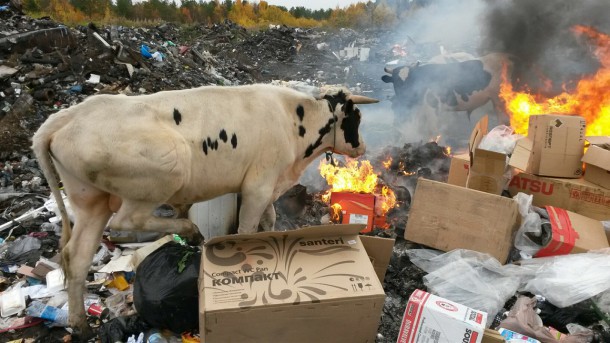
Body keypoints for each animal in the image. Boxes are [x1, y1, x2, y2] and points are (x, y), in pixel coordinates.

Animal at [33, 84, 378, 338]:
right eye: (356, 117)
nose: (362, 147)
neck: (295, 124)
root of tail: (67, 116)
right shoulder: (258, 185)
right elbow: (248, 227)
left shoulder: (271, 184)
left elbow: (270, 219)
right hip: (160, 176)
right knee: (128, 219)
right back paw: (190, 230)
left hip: (89, 200)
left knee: (77, 256)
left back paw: (78, 324)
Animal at [382, 52, 510, 136]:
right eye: (396, 81)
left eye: (412, 79)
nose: (406, 94)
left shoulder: (433, 111)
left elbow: (434, 132)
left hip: (499, 99)